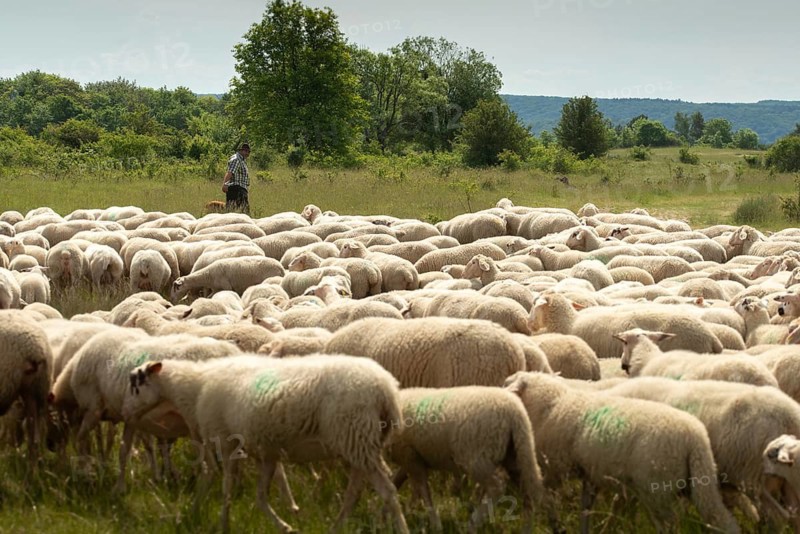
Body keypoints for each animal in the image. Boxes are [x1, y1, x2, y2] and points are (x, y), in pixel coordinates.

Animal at [388, 387, 544, 531]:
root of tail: (515, 413)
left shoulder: (409, 455)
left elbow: (423, 490)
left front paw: (434, 523)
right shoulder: (412, 458)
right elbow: (400, 481)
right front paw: (402, 509)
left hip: (477, 457)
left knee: (497, 486)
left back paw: (473, 524)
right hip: (516, 454)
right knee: (528, 489)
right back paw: (526, 528)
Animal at [504, 372, 740, 534]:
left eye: (507, 383)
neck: (552, 405)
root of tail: (695, 440)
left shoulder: (555, 469)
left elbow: (538, 502)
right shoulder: (590, 473)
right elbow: (585, 508)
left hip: (656, 490)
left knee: (669, 525)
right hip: (696, 484)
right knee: (719, 517)